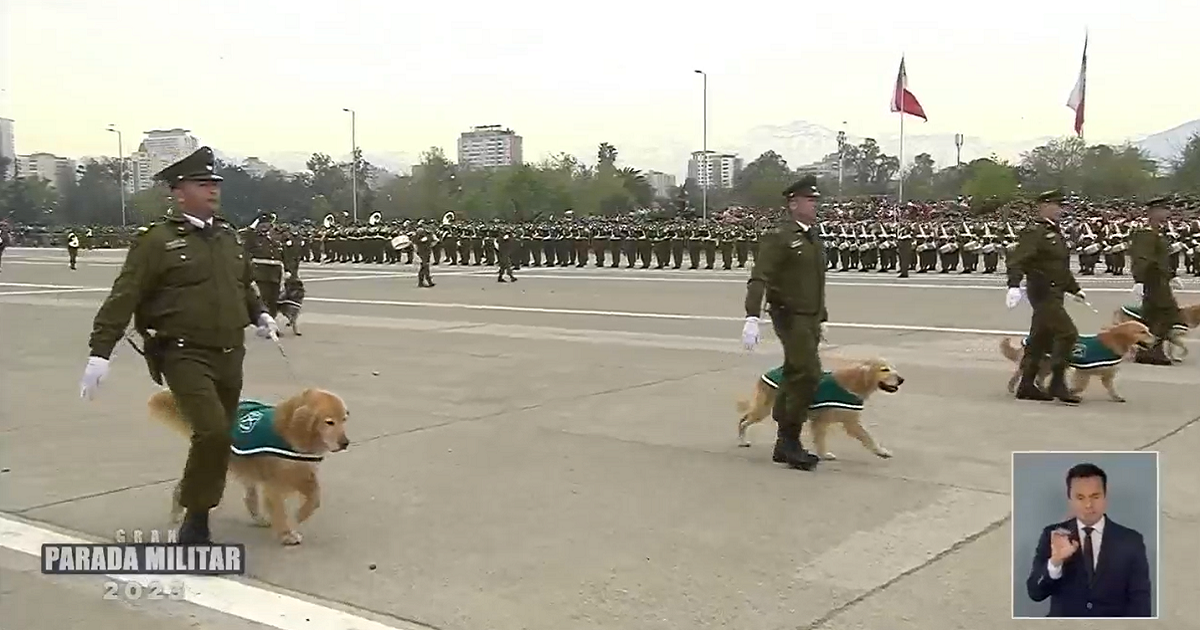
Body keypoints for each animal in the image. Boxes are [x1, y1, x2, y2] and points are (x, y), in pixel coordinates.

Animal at [145, 386, 350, 542]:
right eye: (329, 422)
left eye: (344, 419)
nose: (345, 443)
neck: (290, 432)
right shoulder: (275, 482)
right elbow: (280, 509)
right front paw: (286, 534)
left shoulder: (303, 473)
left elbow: (315, 498)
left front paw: (300, 515)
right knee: (185, 487)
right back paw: (177, 512)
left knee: (249, 498)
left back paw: (258, 518)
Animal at [734, 357, 902, 460]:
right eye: (884, 369)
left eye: (893, 368)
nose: (901, 379)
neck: (854, 383)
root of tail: (767, 372)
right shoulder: (848, 423)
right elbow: (868, 437)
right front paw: (882, 452)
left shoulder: (826, 421)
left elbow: (820, 439)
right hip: (763, 409)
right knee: (743, 421)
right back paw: (742, 440)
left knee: (744, 418)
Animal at [998, 319, 1156, 403]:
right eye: (1143, 332)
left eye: (1147, 330)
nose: (1157, 338)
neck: (1114, 342)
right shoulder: (1084, 371)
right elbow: (1080, 386)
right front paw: (1070, 392)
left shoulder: (1106, 374)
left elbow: (1111, 387)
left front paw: (1117, 397)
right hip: (1042, 362)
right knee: (1020, 373)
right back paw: (1014, 387)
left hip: (1047, 364)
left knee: (1038, 378)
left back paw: (1042, 390)